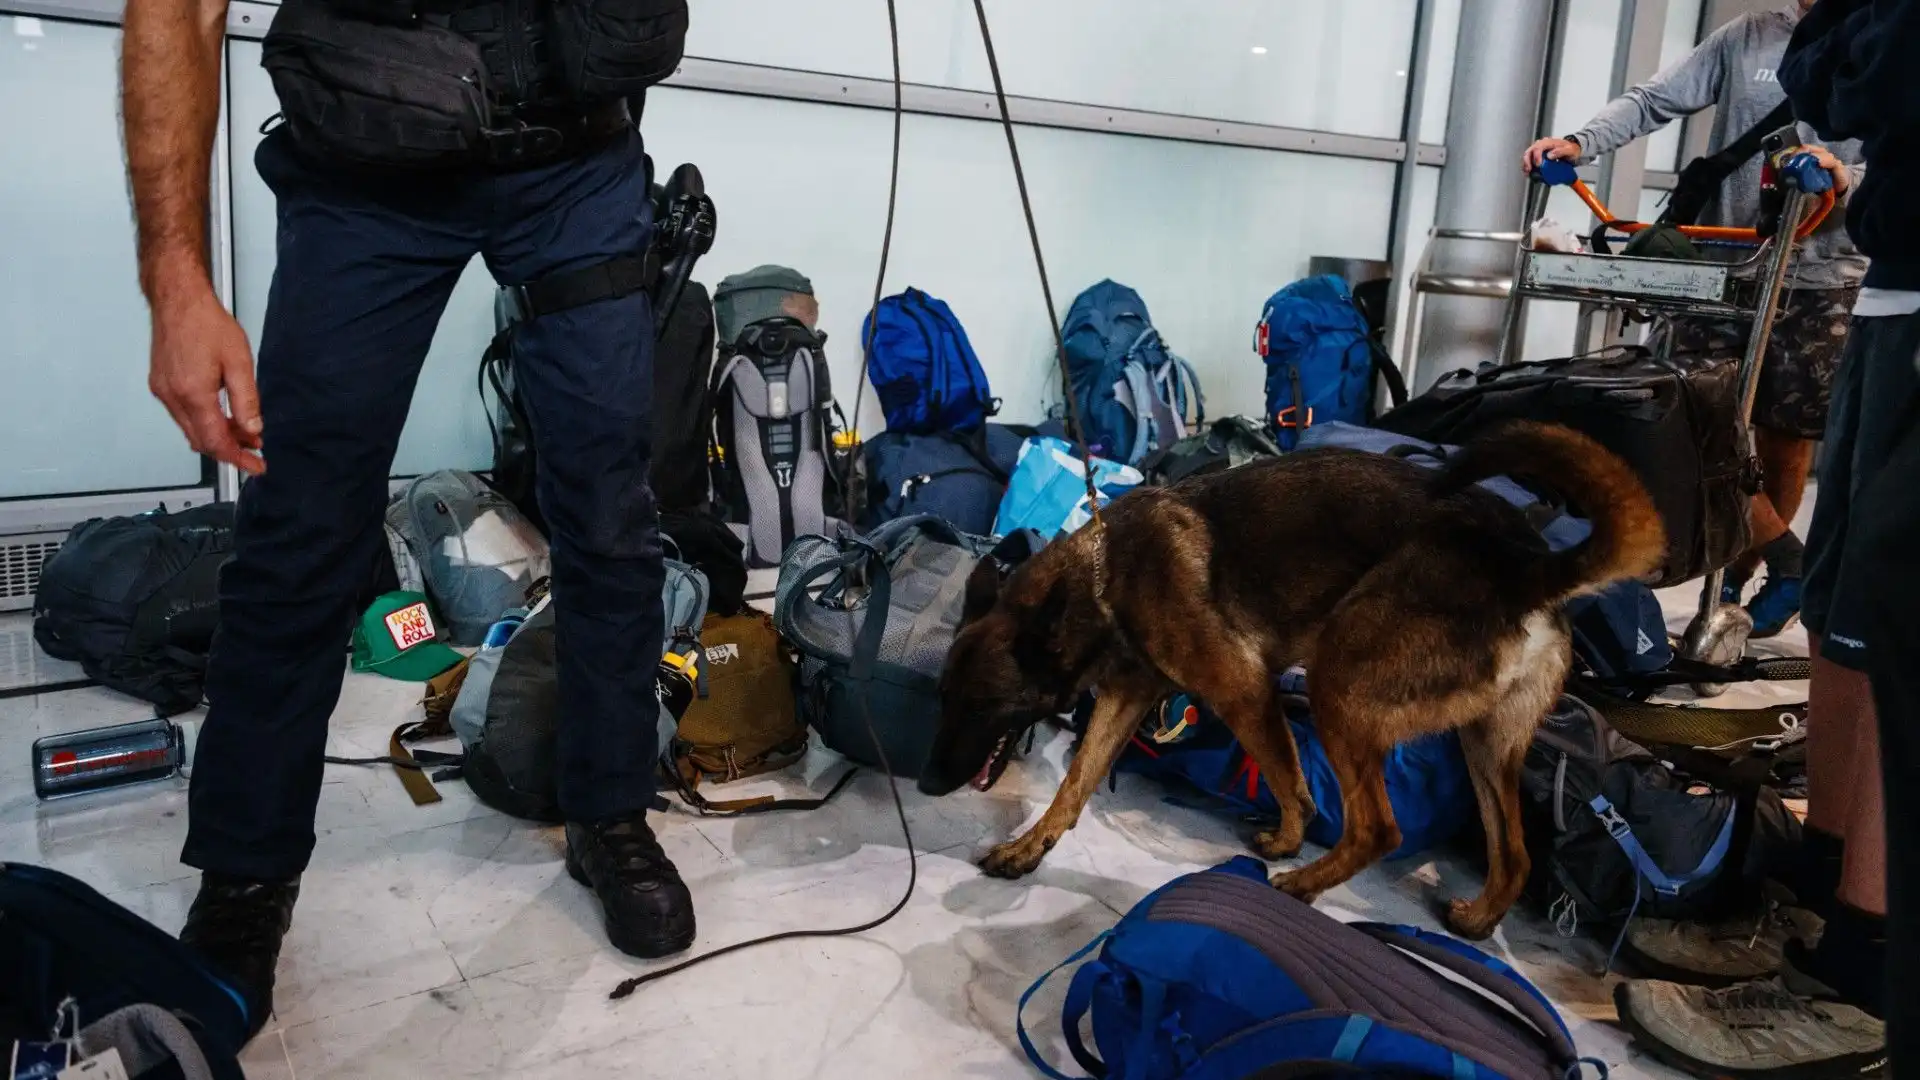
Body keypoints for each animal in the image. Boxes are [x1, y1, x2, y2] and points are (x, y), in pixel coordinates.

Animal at [917, 420, 1666, 933]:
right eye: (944, 700)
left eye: (983, 704)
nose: (924, 786)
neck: (1105, 576)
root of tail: (1524, 567)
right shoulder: (1128, 695)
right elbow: (1075, 784)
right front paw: (1027, 849)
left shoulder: (1243, 691)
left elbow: (1284, 774)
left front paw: (1287, 840)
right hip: (1484, 745)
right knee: (1513, 856)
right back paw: (1475, 922)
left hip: (1339, 688)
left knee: (1379, 831)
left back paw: (1301, 886)